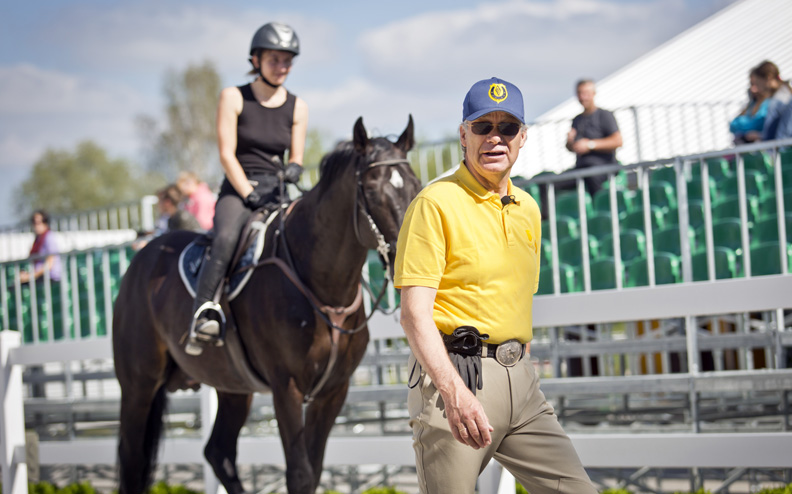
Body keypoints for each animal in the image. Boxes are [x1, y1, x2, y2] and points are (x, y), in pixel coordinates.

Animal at [112, 116, 421, 494]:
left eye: (415, 185)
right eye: (374, 191)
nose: (410, 258)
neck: (319, 286)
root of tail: (143, 257)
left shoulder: (333, 392)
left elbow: (312, 471)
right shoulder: (286, 388)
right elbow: (299, 474)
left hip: (231, 387)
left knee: (218, 452)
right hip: (138, 385)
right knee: (133, 456)